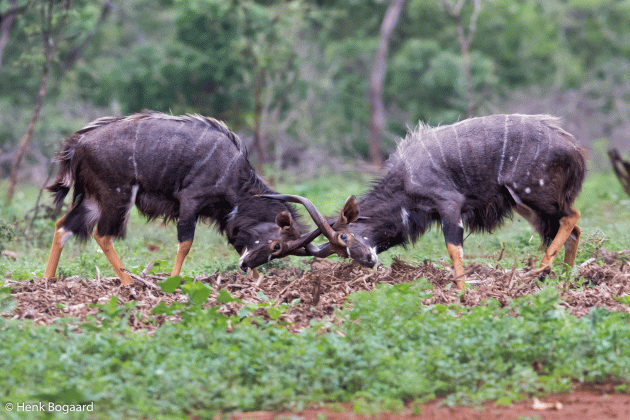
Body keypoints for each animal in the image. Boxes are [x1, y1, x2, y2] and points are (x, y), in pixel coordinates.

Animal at [264, 113, 584, 288]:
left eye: (344, 237)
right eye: (341, 253)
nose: (368, 261)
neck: (405, 179)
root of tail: (574, 148)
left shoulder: (449, 204)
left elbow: (454, 249)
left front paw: (463, 291)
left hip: (533, 194)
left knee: (572, 217)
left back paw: (541, 269)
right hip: (523, 203)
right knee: (571, 229)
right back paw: (564, 280)